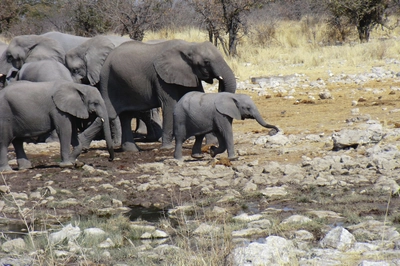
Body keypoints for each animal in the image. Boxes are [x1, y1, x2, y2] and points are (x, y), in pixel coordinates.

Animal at [81, 39, 238, 152]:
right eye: (206, 62)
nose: (219, 82)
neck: (189, 46)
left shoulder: (188, 74)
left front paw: (211, 144)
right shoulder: (160, 77)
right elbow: (169, 105)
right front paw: (167, 148)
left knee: (125, 116)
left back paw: (131, 150)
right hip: (107, 81)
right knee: (110, 113)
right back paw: (83, 146)